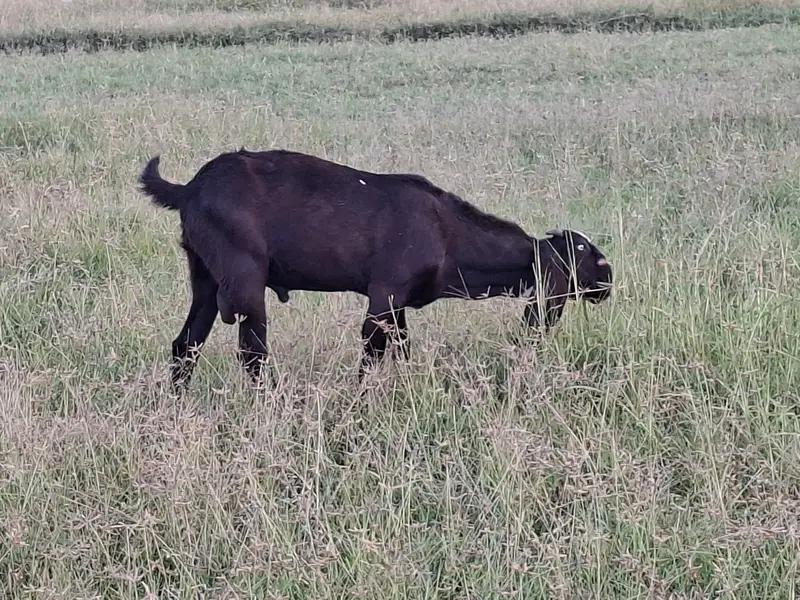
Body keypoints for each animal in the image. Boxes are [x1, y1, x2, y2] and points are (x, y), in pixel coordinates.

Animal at [138, 148, 613, 390]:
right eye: (588, 256)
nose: (608, 284)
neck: (447, 231)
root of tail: (190, 188)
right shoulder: (384, 296)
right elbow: (371, 354)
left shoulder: (398, 306)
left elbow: (401, 349)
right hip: (244, 281)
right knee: (252, 355)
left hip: (203, 279)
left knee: (185, 346)